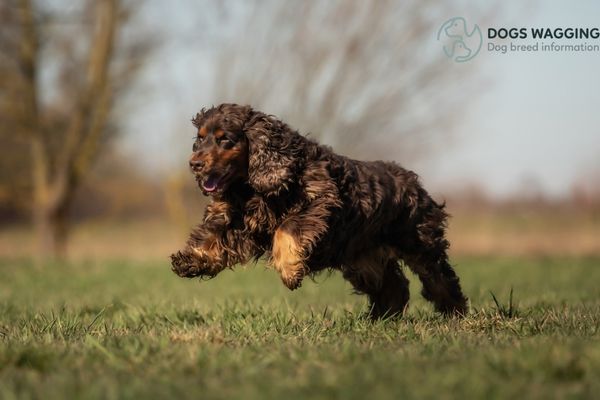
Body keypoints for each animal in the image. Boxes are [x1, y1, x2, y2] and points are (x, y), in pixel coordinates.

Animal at [170, 103, 468, 318]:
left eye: (225, 140)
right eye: (200, 139)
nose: (194, 164)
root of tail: (412, 181)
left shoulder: (319, 202)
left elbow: (285, 230)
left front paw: (289, 271)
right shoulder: (238, 221)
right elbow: (213, 238)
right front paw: (190, 260)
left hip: (419, 243)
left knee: (440, 278)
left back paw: (456, 315)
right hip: (362, 259)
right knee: (394, 286)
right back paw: (380, 319)